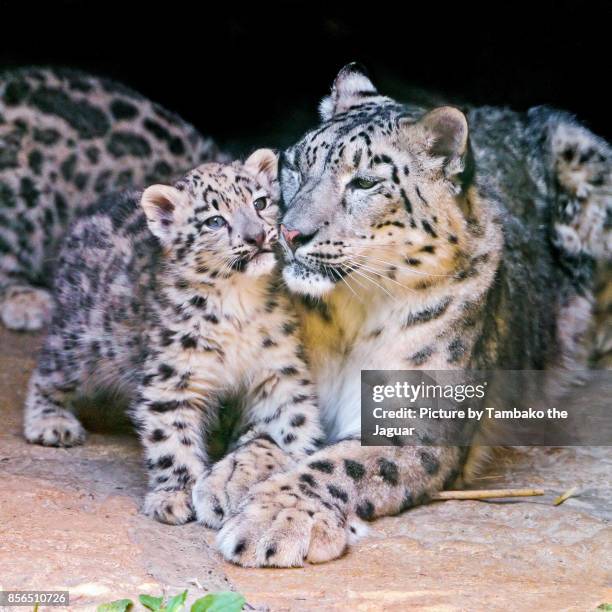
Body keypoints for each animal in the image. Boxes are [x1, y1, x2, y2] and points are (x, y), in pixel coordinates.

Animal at [197, 64, 612, 568]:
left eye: (364, 183)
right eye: (295, 165)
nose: (290, 233)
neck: (351, 315)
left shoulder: (415, 414)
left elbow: (341, 463)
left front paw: (276, 518)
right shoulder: (284, 375)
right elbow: (269, 428)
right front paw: (230, 478)